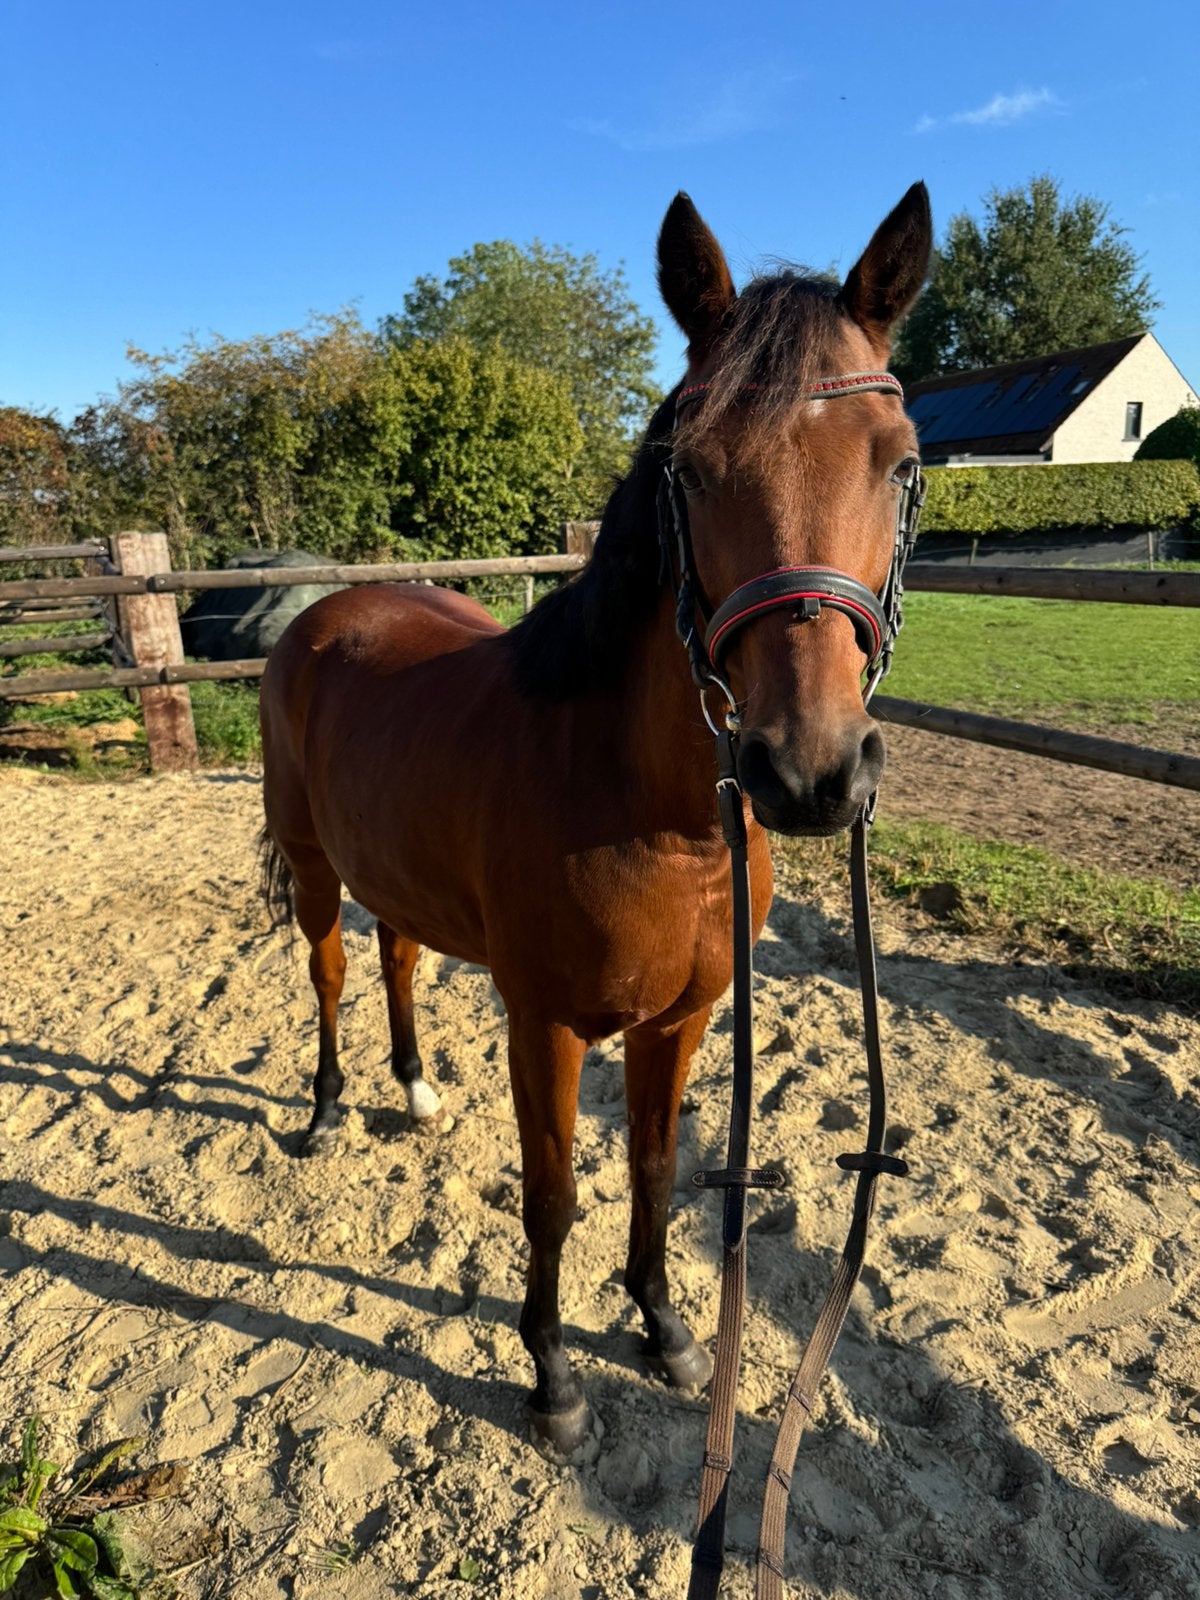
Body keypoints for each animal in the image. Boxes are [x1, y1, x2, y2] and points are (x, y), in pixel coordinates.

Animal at [258, 182, 932, 1458]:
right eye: (691, 468)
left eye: (902, 464)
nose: (810, 772)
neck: (649, 813)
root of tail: (325, 613)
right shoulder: (549, 1025)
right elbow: (556, 1192)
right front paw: (554, 1377)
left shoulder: (682, 1019)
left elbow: (659, 1171)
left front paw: (665, 1331)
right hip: (317, 864)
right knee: (326, 970)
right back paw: (324, 1114)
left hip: (394, 871)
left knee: (397, 955)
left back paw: (414, 1090)